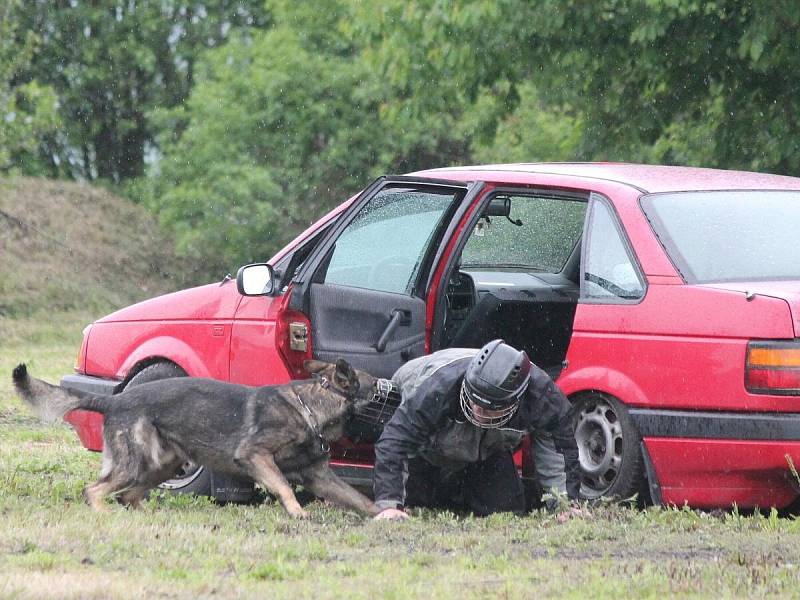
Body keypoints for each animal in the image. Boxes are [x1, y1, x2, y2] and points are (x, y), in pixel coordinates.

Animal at [11, 358, 382, 516]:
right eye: (377, 385)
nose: (390, 384)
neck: (310, 408)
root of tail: (114, 400)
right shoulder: (255, 456)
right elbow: (283, 485)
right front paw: (296, 512)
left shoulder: (322, 478)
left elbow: (360, 499)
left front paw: (385, 515)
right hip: (136, 464)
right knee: (95, 490)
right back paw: (104, 514)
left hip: (161, 465)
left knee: (128, 496)